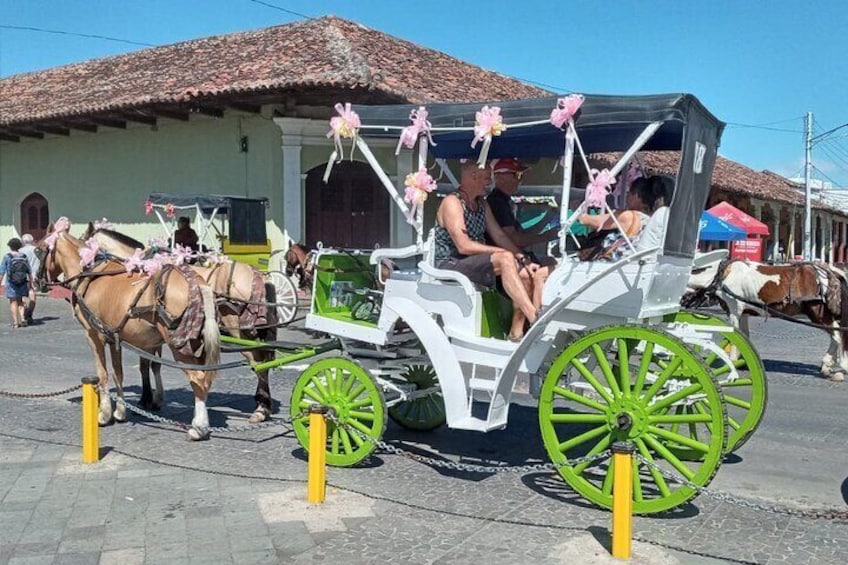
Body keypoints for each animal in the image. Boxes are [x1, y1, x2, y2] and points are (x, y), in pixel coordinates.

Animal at [37, 223, 220, 438]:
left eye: (38, 250)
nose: (37, 282)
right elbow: (119, 373)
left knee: (198, 378)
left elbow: (103, 374)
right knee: (205, 378)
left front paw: (104, 414)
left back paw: (199, 427)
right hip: (196, 344)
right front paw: (121, 411)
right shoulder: (115, 337)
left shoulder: (94, 335)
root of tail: (197, 281)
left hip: (179, 344)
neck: (90, 273)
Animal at [80, 223, 278, 420]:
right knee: (263, 360)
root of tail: (258, 275)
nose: (85, 271)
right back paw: (263, 404)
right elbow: (154, 364)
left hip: (239, 331)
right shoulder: (153, 335)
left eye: (84, 241)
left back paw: (261, 407)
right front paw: (155, 399)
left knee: (257, 360)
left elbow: (145, 365)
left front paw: (146, 399)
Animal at [688, 258, 848, 382]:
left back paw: (836, 365)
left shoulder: (734, 309)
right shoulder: (744, 313)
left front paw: (732, 362)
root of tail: (832, 272)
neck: (723, 275)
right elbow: (744, 335)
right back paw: (828, 365)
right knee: (836, 336)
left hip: (817, 312)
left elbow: (735, 336)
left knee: (837, 336)